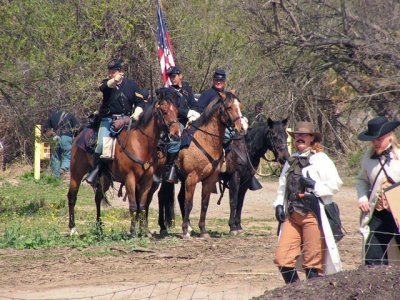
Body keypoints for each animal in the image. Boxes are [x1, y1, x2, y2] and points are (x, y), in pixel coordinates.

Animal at [67, 87, 181, 237]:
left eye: (177, 111)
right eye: (164, 111)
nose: (177, 134)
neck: (140, 143)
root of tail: (80, 132)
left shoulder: (148, 181)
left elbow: (142, 206)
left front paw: (144, 232)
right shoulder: (130, 179)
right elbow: (133, 205)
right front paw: (132, 232)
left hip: (105, 178)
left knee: (98, 197)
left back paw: (99, 228)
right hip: (77, 172)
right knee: (72, 196)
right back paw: (73, 228)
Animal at [177, 91, 245, 239]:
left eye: (239, 105)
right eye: (229, 107)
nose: (241, 128)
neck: (206, 140)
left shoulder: (210, 179)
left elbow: (205, 203)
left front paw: (202, 230)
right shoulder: (191, 178)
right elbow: (189, 203)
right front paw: (185, 231)